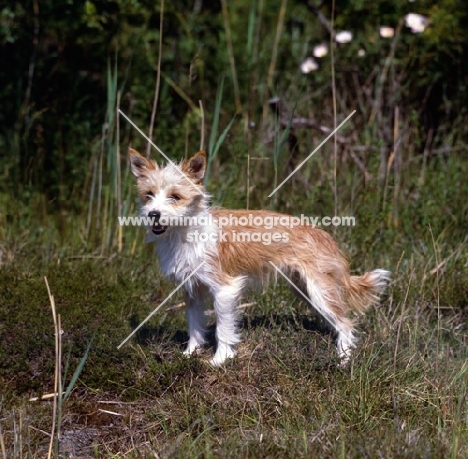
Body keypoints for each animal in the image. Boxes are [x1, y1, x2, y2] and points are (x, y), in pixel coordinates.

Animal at [129, 149, 392, 368]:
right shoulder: (192, 291)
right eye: (148, 195)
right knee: (337, 319)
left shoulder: (225, 289)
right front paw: (189, 355)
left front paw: (220, 360)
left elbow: (223, 329)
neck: (184, 233)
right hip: (304, 289)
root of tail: (324, 236)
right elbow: (194, 327)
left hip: (319, 291)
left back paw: (343, 360)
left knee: (345, 323)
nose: (154, 214)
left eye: (175, 197)